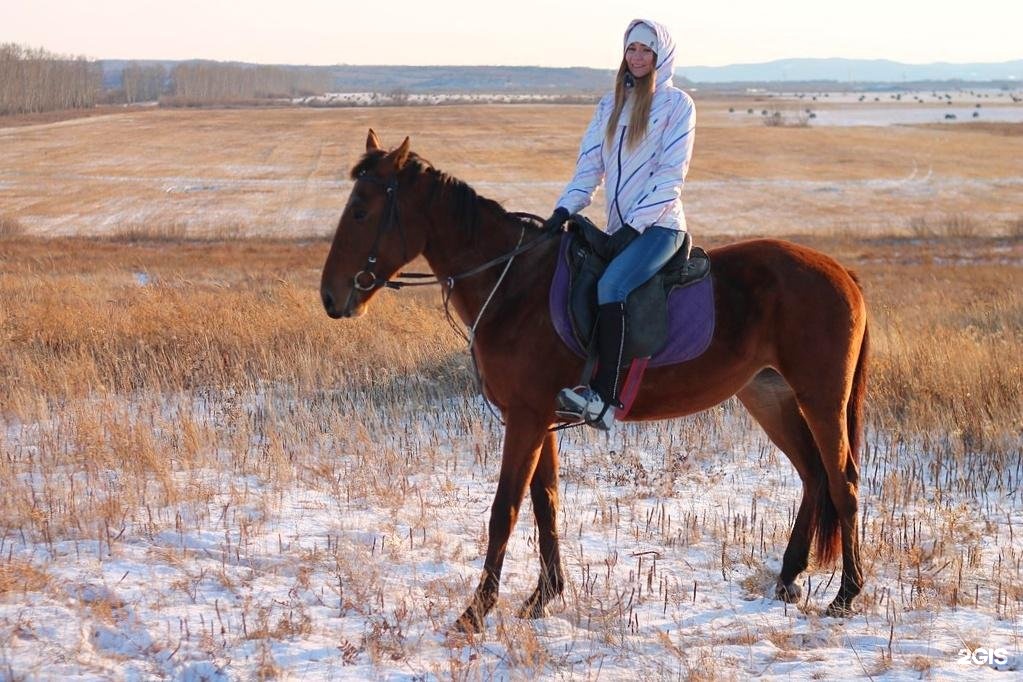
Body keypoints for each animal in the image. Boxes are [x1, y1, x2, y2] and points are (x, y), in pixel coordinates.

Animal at [321, 129, 871, 633]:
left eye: (361, 212)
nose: (330, 296)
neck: (513, 285)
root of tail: (841, 271)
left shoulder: (525, 419)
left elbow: (506, 508)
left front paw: (475, 612)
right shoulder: (539, 419)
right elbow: (546, 503)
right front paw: (542, 597)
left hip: (822, 398)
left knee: (842, 481)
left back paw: (846, 594)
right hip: (768, 396)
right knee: (812, 474)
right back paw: (789, 577)